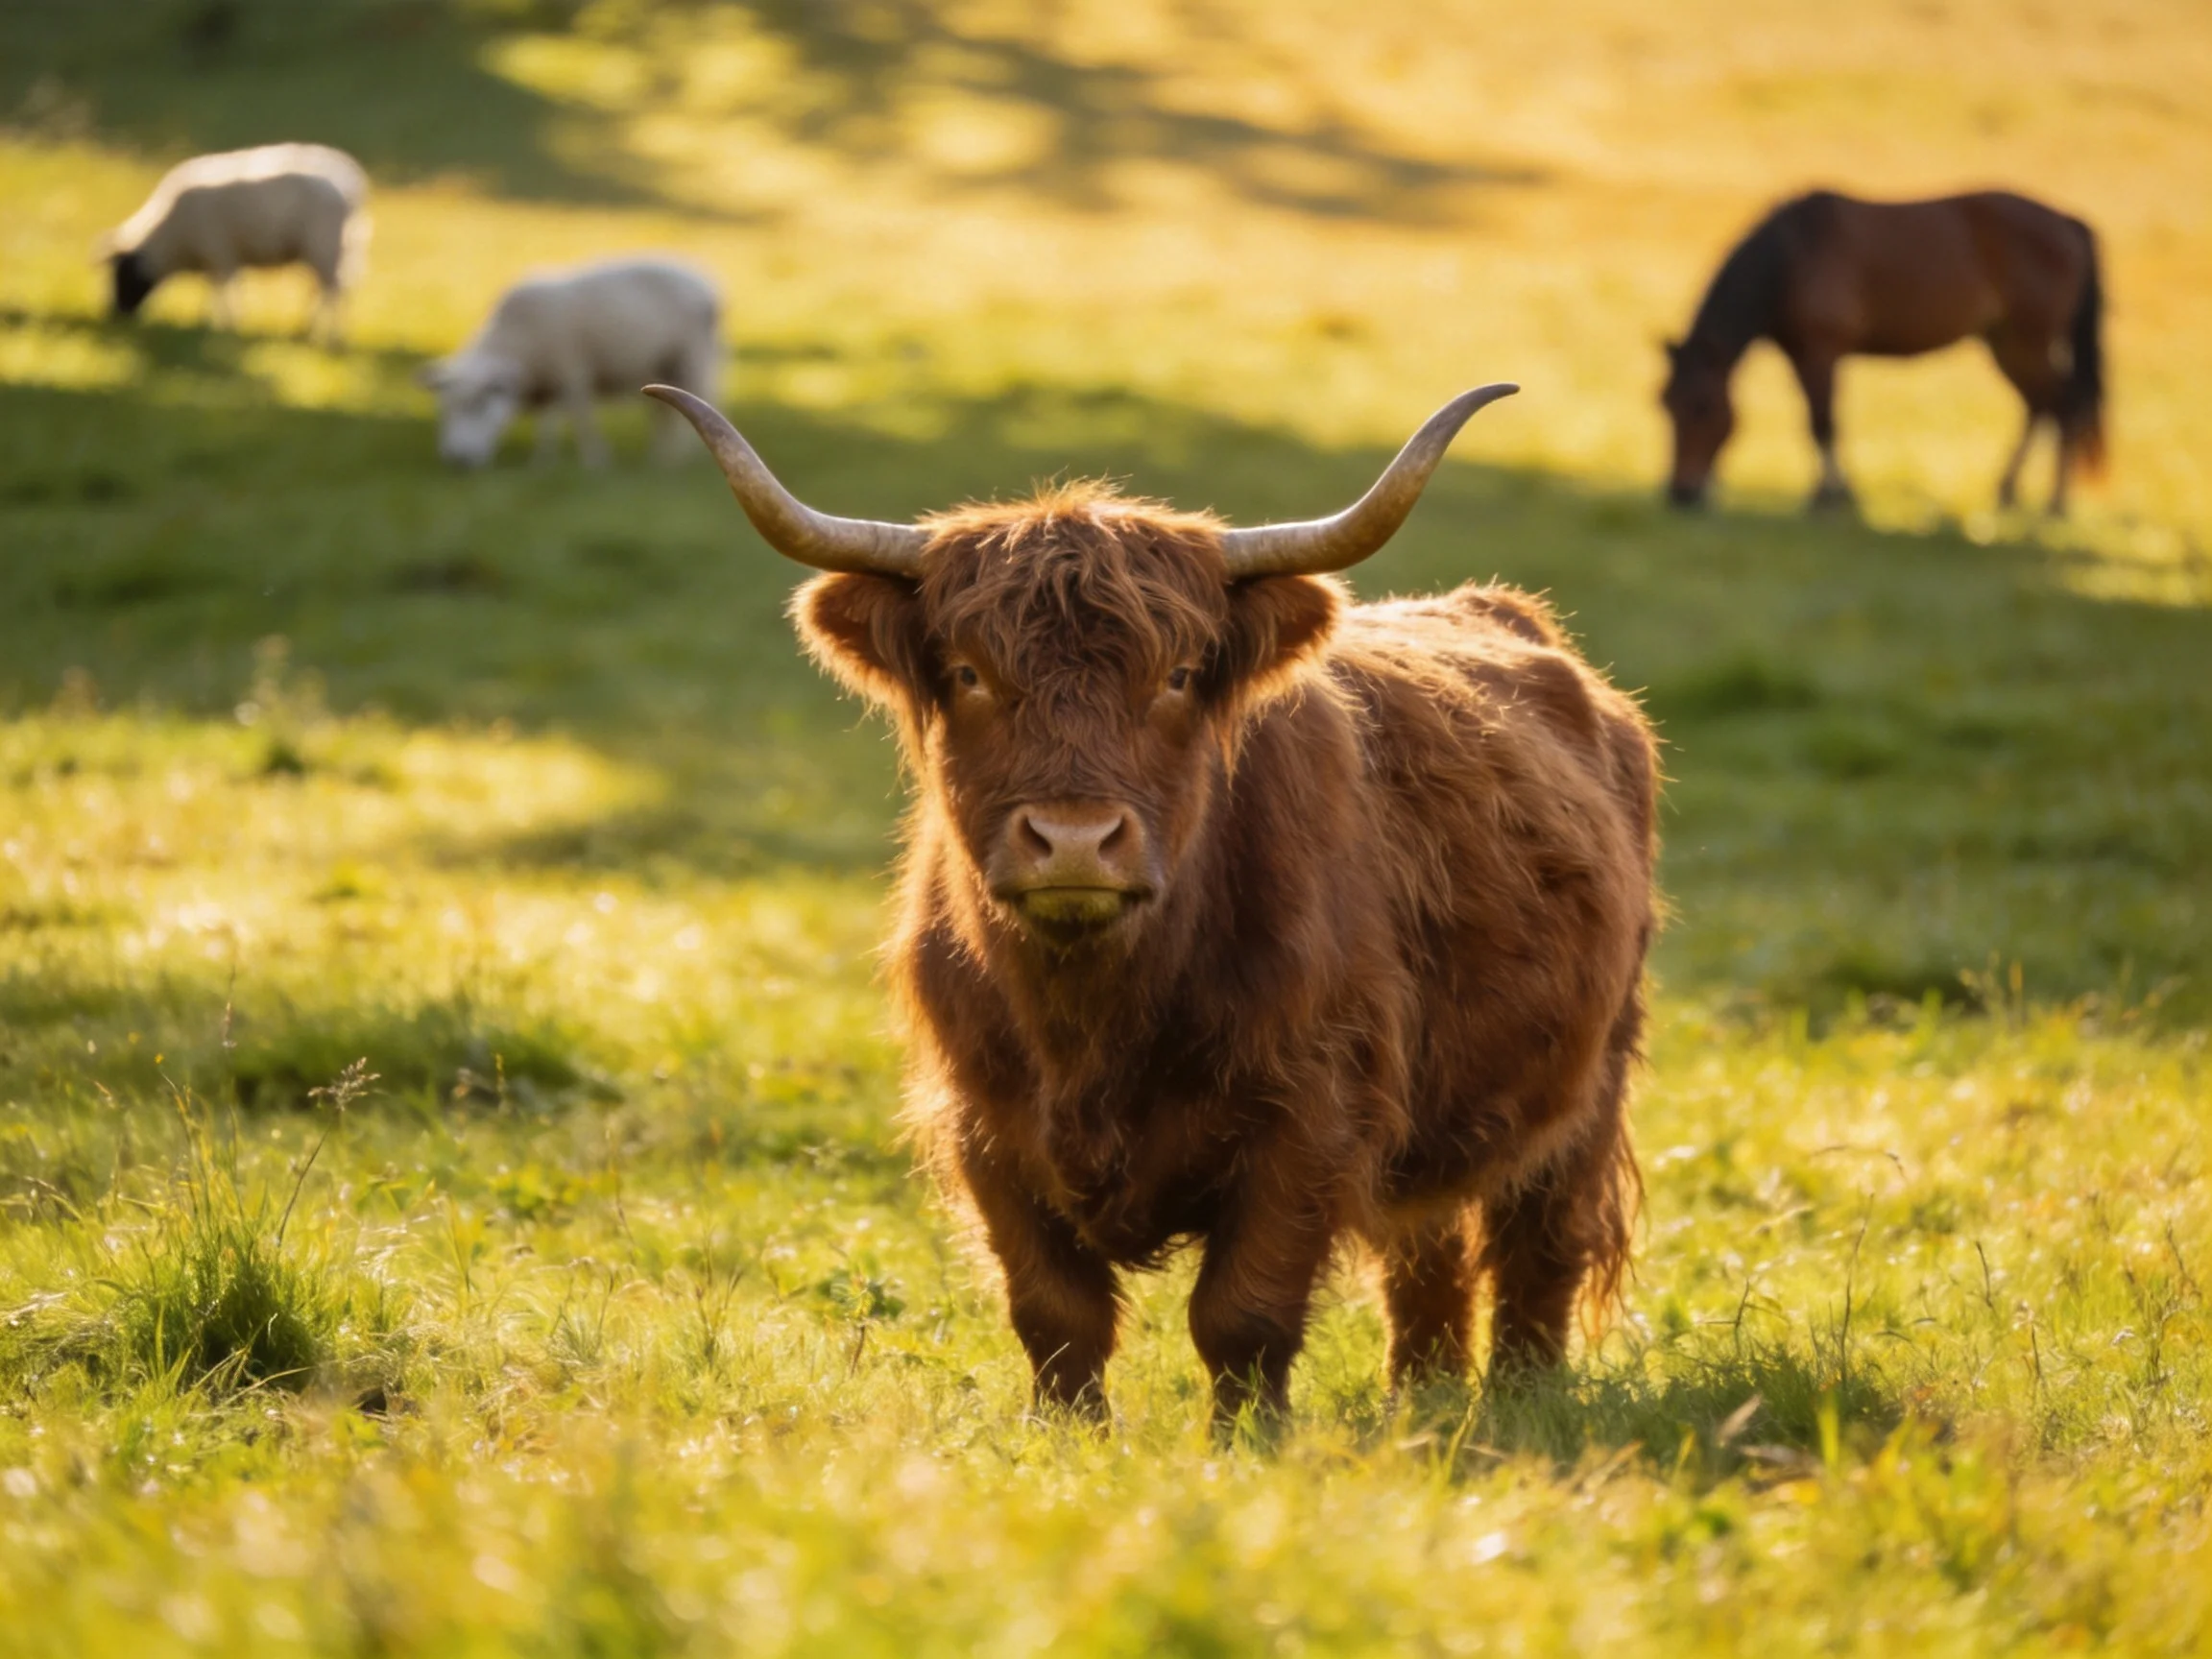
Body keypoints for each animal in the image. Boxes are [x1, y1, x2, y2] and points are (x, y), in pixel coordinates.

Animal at [100, 143, 370, 344]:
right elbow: (220, 290)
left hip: (324, 248)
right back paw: (307, 329)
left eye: (122, 275)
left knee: (334, 292)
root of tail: (351, 189)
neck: (170, 237)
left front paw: (222, 324)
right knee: (325, 290)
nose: (115, 315)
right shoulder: (221, 258)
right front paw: (212, 321)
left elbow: (222, 290)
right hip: (325, 252)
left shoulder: (219, 253)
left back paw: (331, 338)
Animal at [418, 258, 722, 470]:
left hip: (692, 358)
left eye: (479, 405)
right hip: (662, 366)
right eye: (444, 409)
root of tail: (704, 281)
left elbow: (581, 420)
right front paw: (542, 462)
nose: (457, 461)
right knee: (663, 415)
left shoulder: (572, 372)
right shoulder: (548, 383)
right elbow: (547, 425)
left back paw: (674, 460)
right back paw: (659, 457)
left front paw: (595, 462)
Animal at [649, 383, 1660, 1424]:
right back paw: (1421, 1400)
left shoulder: (1312, 1112)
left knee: (1539, 1242)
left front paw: (1249, 1441)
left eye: (1175, 677)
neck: (1094, 1019)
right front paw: (1065, 1438)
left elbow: (1243, 1313)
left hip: (1591, 1075)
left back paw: (1522, 1399)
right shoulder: (984, 1125)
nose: (1074, 839)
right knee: (1425, 1254)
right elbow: (1054, 1313)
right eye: (970, 673)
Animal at [1661, 190, 2105, 514]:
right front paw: (1830, 493)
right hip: (2005, 341)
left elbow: (1823, 421)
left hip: (2029, 338)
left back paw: (2056, 503)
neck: (1792, 259)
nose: (1681, 493)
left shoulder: (1823, 349)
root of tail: (2067, 221)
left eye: (1701, 407)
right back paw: (2007, 491)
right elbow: (1815, 422)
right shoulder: (1799, 353)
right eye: (1665, 405)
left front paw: (1832, 498)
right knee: (2040, 405)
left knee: (2064, 404)